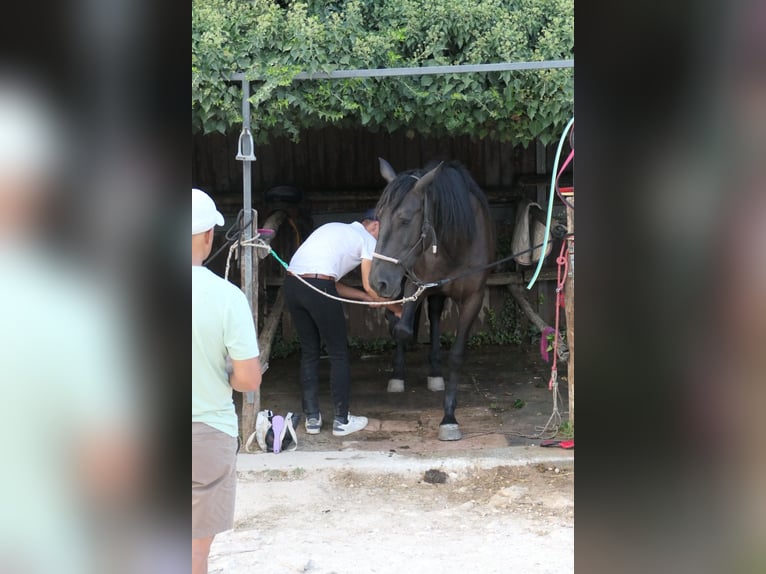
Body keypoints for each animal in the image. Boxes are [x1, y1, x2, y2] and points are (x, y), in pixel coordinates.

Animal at [370, 158, 495, 441]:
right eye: (379, 217)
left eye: (405, 220)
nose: (376, 281)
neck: (456, 242)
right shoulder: (415, 285)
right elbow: (403, 329)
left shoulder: (473, 298)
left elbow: (457, 356)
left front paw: (449, 417)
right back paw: (398, 374)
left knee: (436, 314)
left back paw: (436, 373)